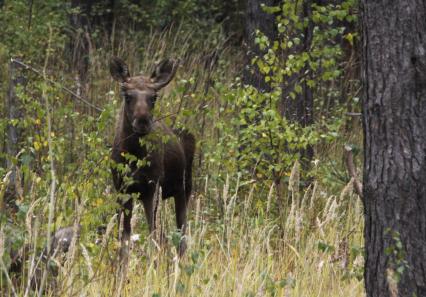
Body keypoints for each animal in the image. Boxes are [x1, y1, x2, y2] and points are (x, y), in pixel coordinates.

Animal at [110, 56, 196, 254]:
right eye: (127, 95)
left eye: (154, 97)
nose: (142, 120)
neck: (133, 155)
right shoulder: (121, 188)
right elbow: (124, 237)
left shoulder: (152, 187)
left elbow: (153, 236)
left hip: (185, 188)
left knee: (181, 234)